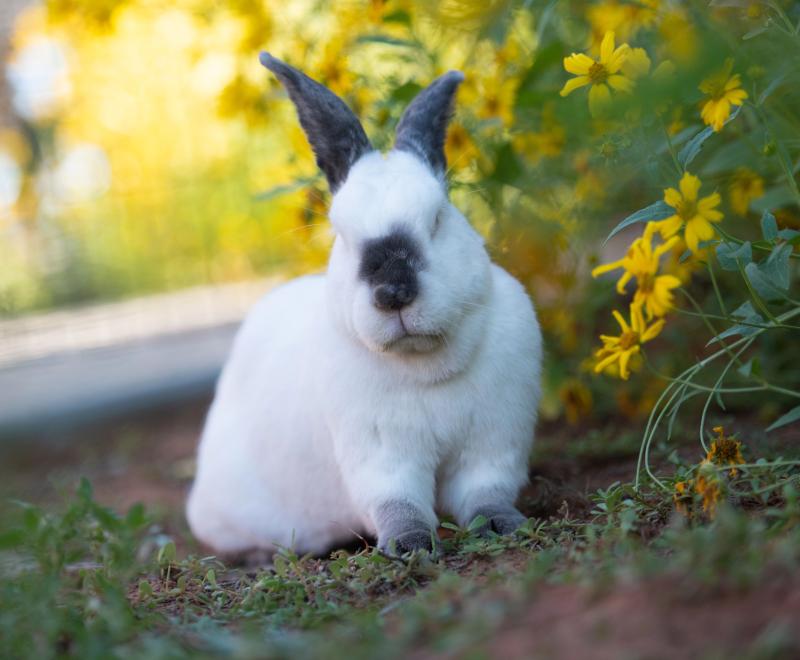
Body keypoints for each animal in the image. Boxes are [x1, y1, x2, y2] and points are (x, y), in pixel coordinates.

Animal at [184, 51, 540, 560]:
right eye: (342, 234)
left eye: (437, 219)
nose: (393, 293)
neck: (427, 368)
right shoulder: (381, 456)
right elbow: (398, 503)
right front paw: (411, 546)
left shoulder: (492, 443)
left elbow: (485, 493)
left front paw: (503, 525)